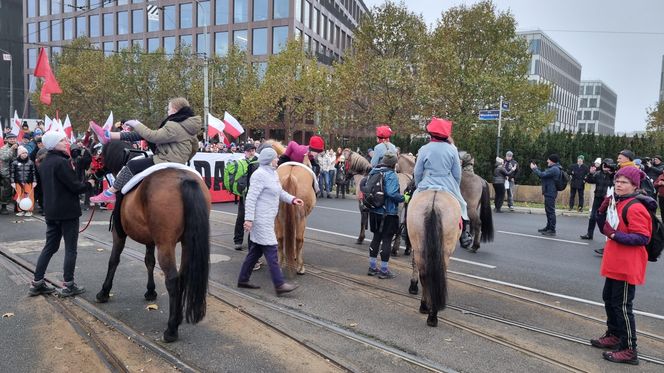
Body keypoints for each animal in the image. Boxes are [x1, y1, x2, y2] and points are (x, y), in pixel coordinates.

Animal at [95, 141, 210, 342]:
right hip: (187, 243)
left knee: (172, 280)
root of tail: (185, 180)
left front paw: (104, 292)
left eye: (98, 153)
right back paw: (177, 317)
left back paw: (171, 329)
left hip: (166, 244)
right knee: (183, 276)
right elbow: (149, 261)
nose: (93, 172)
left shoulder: (118, 234)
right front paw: (150, 291)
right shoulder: (150, 239)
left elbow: (113, 260)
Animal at [404, 189, 462, 326]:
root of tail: (433, 203)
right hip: (444, 250)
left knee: (425, 275)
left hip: (419, 244)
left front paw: (413, 286)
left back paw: (426, 308)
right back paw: (431, 313)